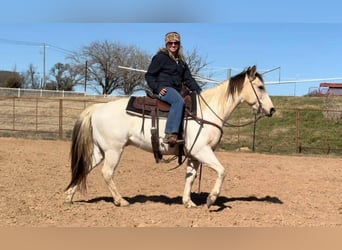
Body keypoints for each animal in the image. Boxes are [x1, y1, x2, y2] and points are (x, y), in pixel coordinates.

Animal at [65, 65, 276, 208]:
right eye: (260, 87)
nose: (272, 110)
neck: (208, 111)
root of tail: (97, 108)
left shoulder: (193, 155)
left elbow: (190, 177)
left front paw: (188, 202)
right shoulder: (202, 151)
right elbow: (222, 171)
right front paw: (211, 199)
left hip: (100, 151)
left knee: (84, 168)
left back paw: (68, 197)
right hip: (113, 150)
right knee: (107, 173)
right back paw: (121, 200)